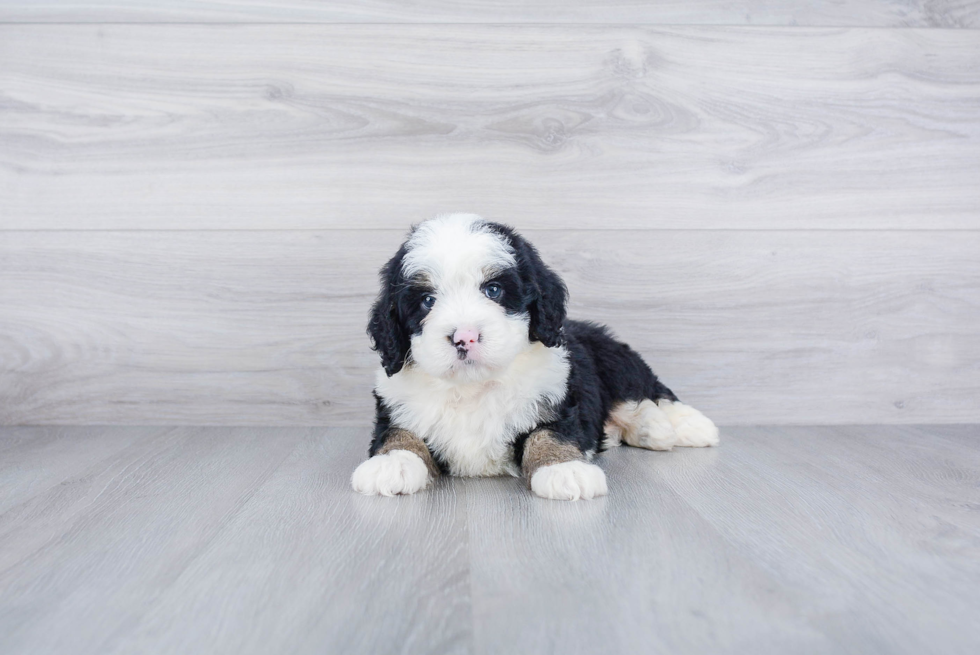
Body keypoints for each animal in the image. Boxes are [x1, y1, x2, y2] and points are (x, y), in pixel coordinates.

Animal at [352, 213, 720, 500]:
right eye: (427, 300)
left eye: (494, 290)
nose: (464, 336)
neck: (473, 387)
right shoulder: (396, 404)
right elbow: (397, 432)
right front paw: (391, 462)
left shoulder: (557, 396)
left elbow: (550, 432)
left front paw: (564, 468)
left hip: (615, 359)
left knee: (648, 392)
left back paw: (683, 427)